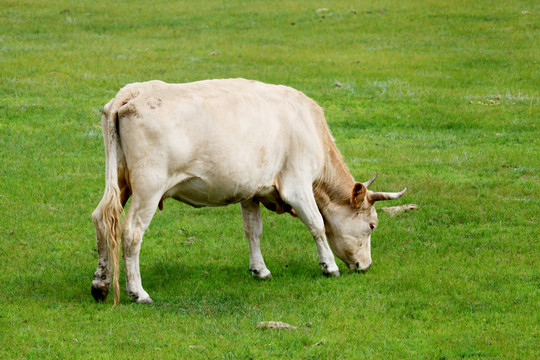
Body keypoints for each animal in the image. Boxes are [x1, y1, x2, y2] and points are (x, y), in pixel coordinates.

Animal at [92, 79, 404, 304]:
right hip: (149, 186)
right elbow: (316, 225)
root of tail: (133, 92)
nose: (365, 266)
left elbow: (253, 230)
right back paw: (138, 292)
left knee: (101, 220)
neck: (309, 127)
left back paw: (100, 284)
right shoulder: (298, 184)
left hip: (120, 183)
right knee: (131, 232)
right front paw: (329, 266)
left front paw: (260, 269)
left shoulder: (252, 191)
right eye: (372, 225)